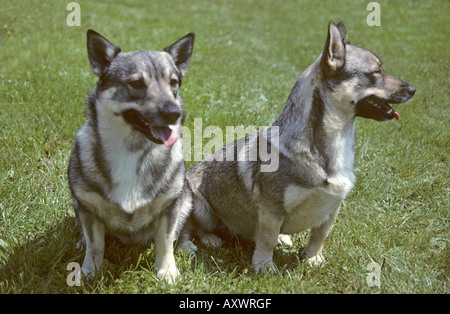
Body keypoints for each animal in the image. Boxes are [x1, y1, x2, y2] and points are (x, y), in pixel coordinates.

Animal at [67, 30, 194, 284]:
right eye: (136, 83)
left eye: (173, 83)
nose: (174, 113)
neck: (132, 151)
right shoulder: (88, 208)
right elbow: (95, 245)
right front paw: (90, 271)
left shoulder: (170, 207)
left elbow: (165, 241)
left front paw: (167, 271)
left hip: (186, 198)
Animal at [178, 21, 414, 272]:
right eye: (377, 71)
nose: (413, 90)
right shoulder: (271, 210)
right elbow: (267, 240)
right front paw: (264, 266)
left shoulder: (331, 208)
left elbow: (319, 237)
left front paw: (313, 259)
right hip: (199, 208)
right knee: (187, 229)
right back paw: (199, 242)